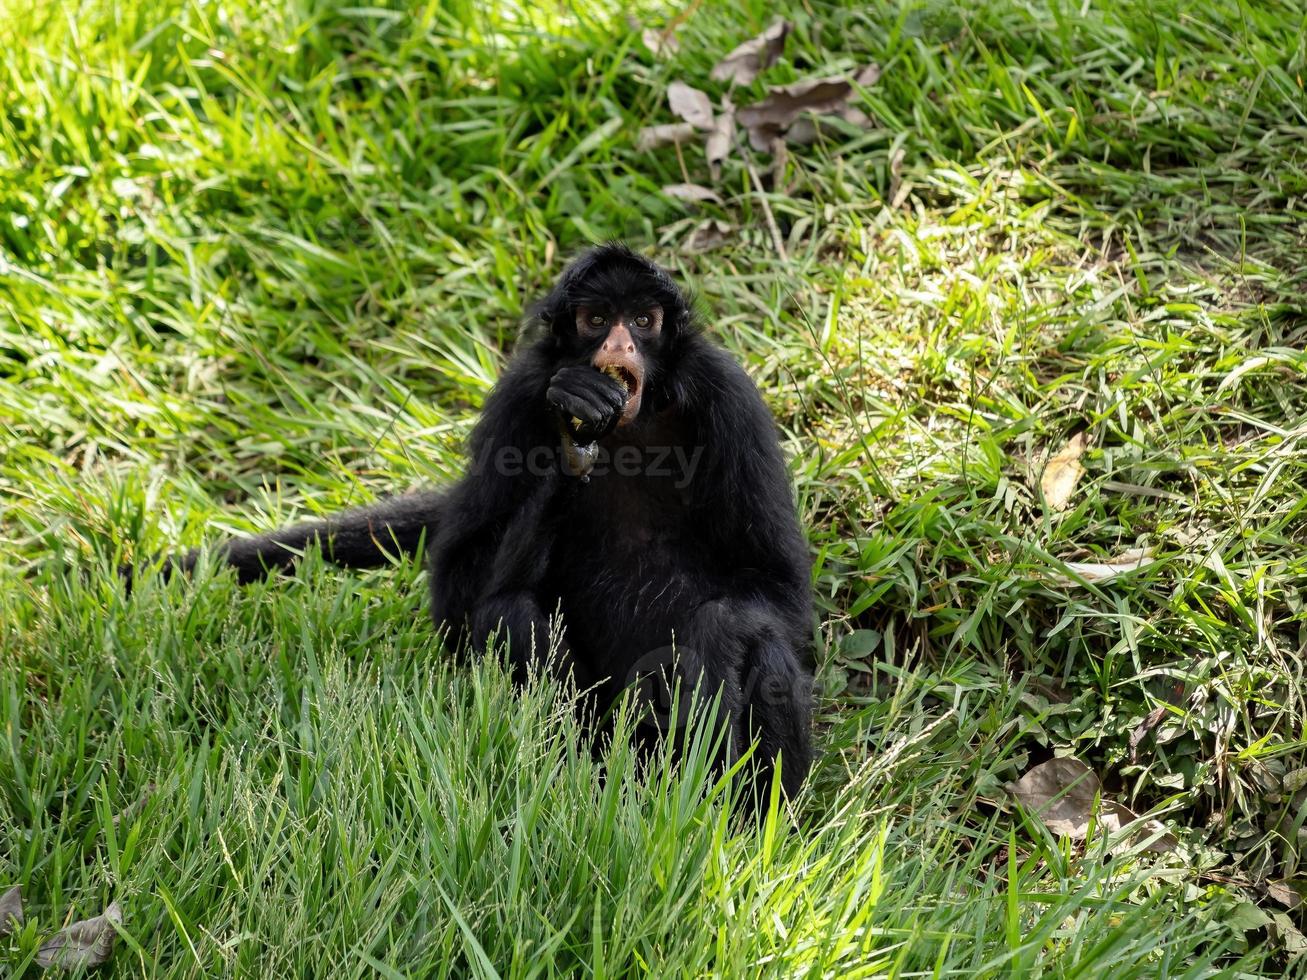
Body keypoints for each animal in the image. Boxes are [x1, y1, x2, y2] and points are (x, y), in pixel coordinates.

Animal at [145, 244, 815, 799]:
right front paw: (571, 435)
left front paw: (707, 653)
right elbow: (458, 594)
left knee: (765, 644)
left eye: (643, 322)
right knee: (509, 616)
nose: (620, 347)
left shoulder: (727, 397)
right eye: (597, 320)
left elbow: (777, 594)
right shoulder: (523, 393)